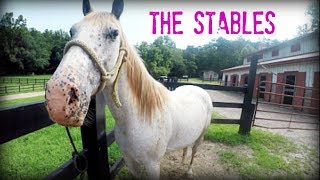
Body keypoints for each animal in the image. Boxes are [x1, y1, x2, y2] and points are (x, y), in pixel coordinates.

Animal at [45, 0, 214, 178]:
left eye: (114, 33)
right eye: (72, 31)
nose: (58, 97)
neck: (137, 118)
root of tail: (198, 89)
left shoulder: (153, 166)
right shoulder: (130, 162)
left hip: (200, 137)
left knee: (194, 152)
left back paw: (189, 171)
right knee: (186, 148)